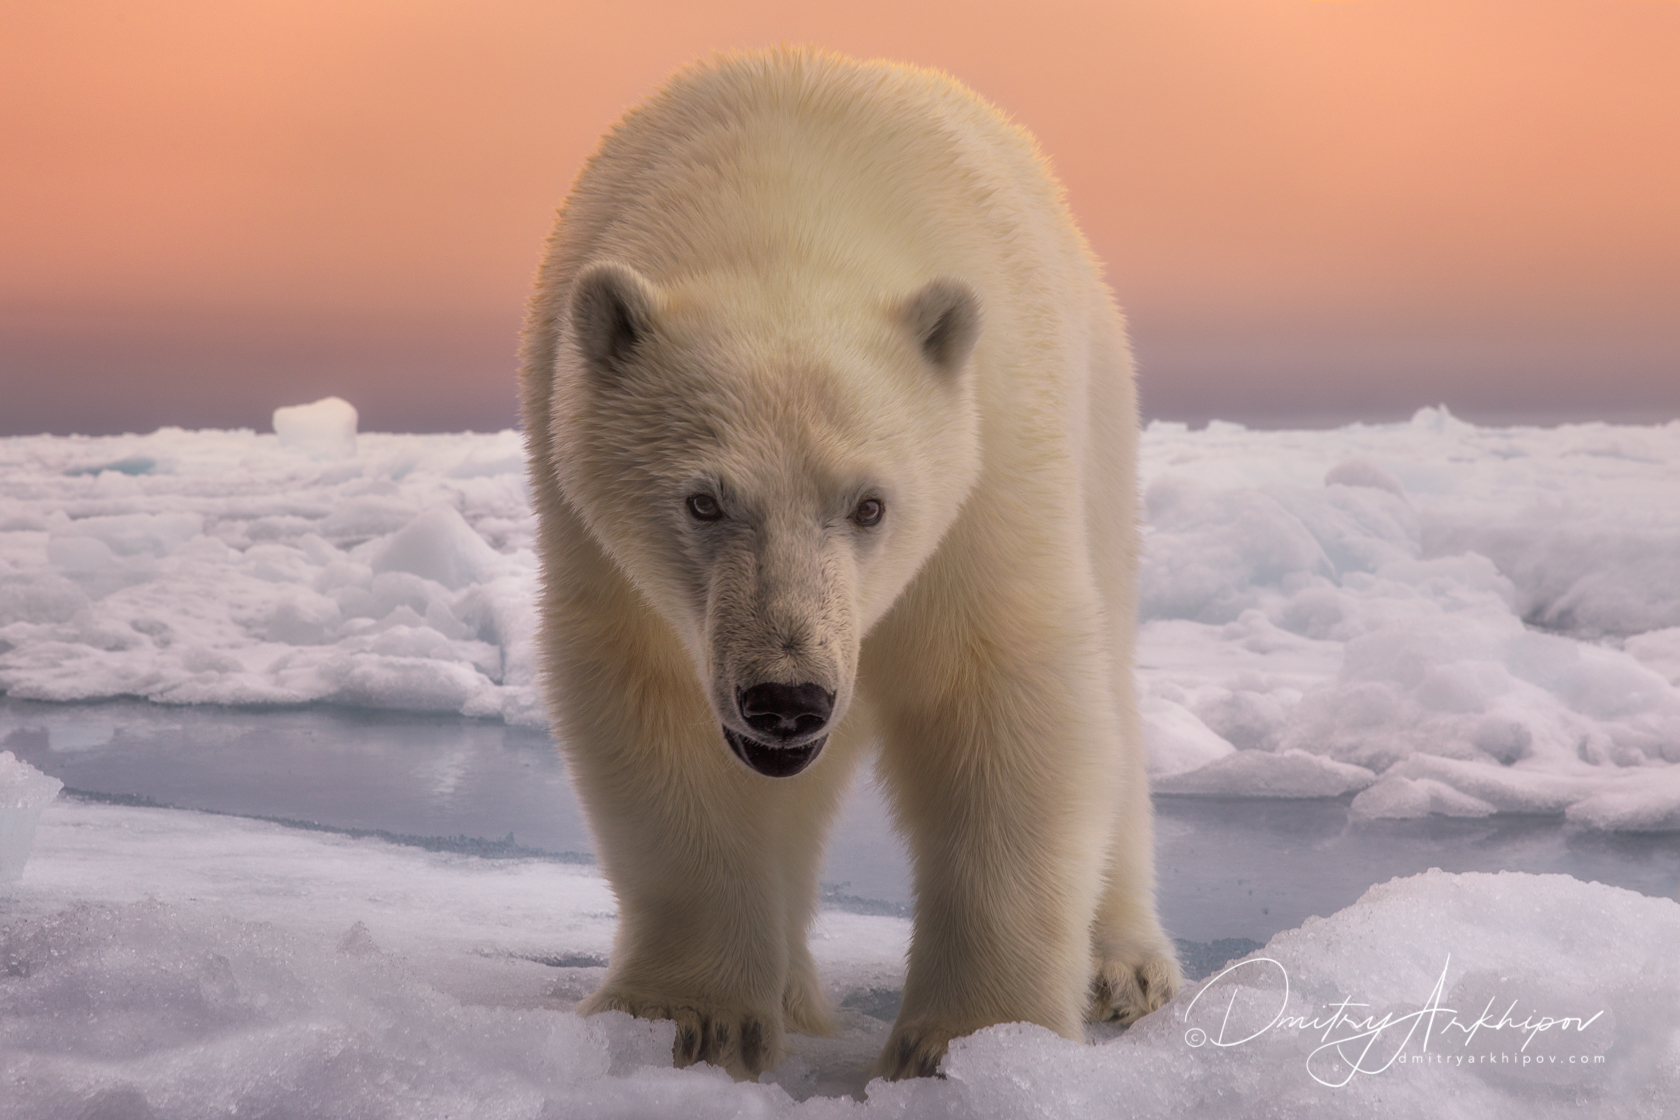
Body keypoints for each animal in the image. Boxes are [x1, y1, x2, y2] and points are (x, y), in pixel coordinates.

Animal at [517, 48, 1176, 1081]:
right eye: (703, 501)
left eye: (870, 505)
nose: (786, 697)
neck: (786, 206)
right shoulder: (603, 546)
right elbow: (656, 716)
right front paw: (690, 1017)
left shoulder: (989, 470)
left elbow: (1005, 699)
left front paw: (971, 1042)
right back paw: (790, 984)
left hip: (1100, 423)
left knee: (1109, 680)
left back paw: (1123, 965)